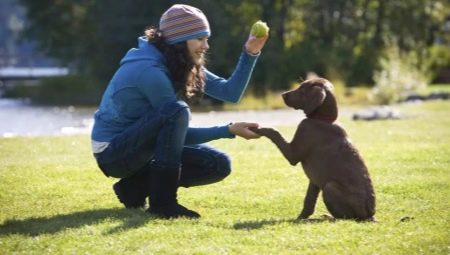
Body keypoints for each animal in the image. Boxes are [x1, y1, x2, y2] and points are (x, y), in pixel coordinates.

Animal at [251, 77, 374, 221]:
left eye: (302, 89)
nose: (282, 94)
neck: (323, 119)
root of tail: (370, 216)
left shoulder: (293, 153)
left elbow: (274, 132)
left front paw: (257, 128)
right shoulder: (314, 181)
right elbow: (309, 201)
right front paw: (301, 217)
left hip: (330, 187)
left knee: (346, 217)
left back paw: (329, 217)